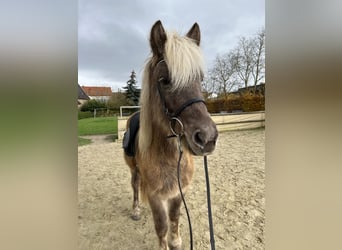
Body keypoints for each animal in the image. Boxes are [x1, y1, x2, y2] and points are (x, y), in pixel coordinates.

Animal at [123, 20, 218, 249]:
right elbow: (161, 226)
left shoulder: (178, 191)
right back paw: (136, 209)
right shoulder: (156, 196)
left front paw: (176, 241)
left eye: (200, 79)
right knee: (135, 186)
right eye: (165, 80)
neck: (169, 155)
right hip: (133, 170)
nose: (207, 138)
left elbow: (174, 217)